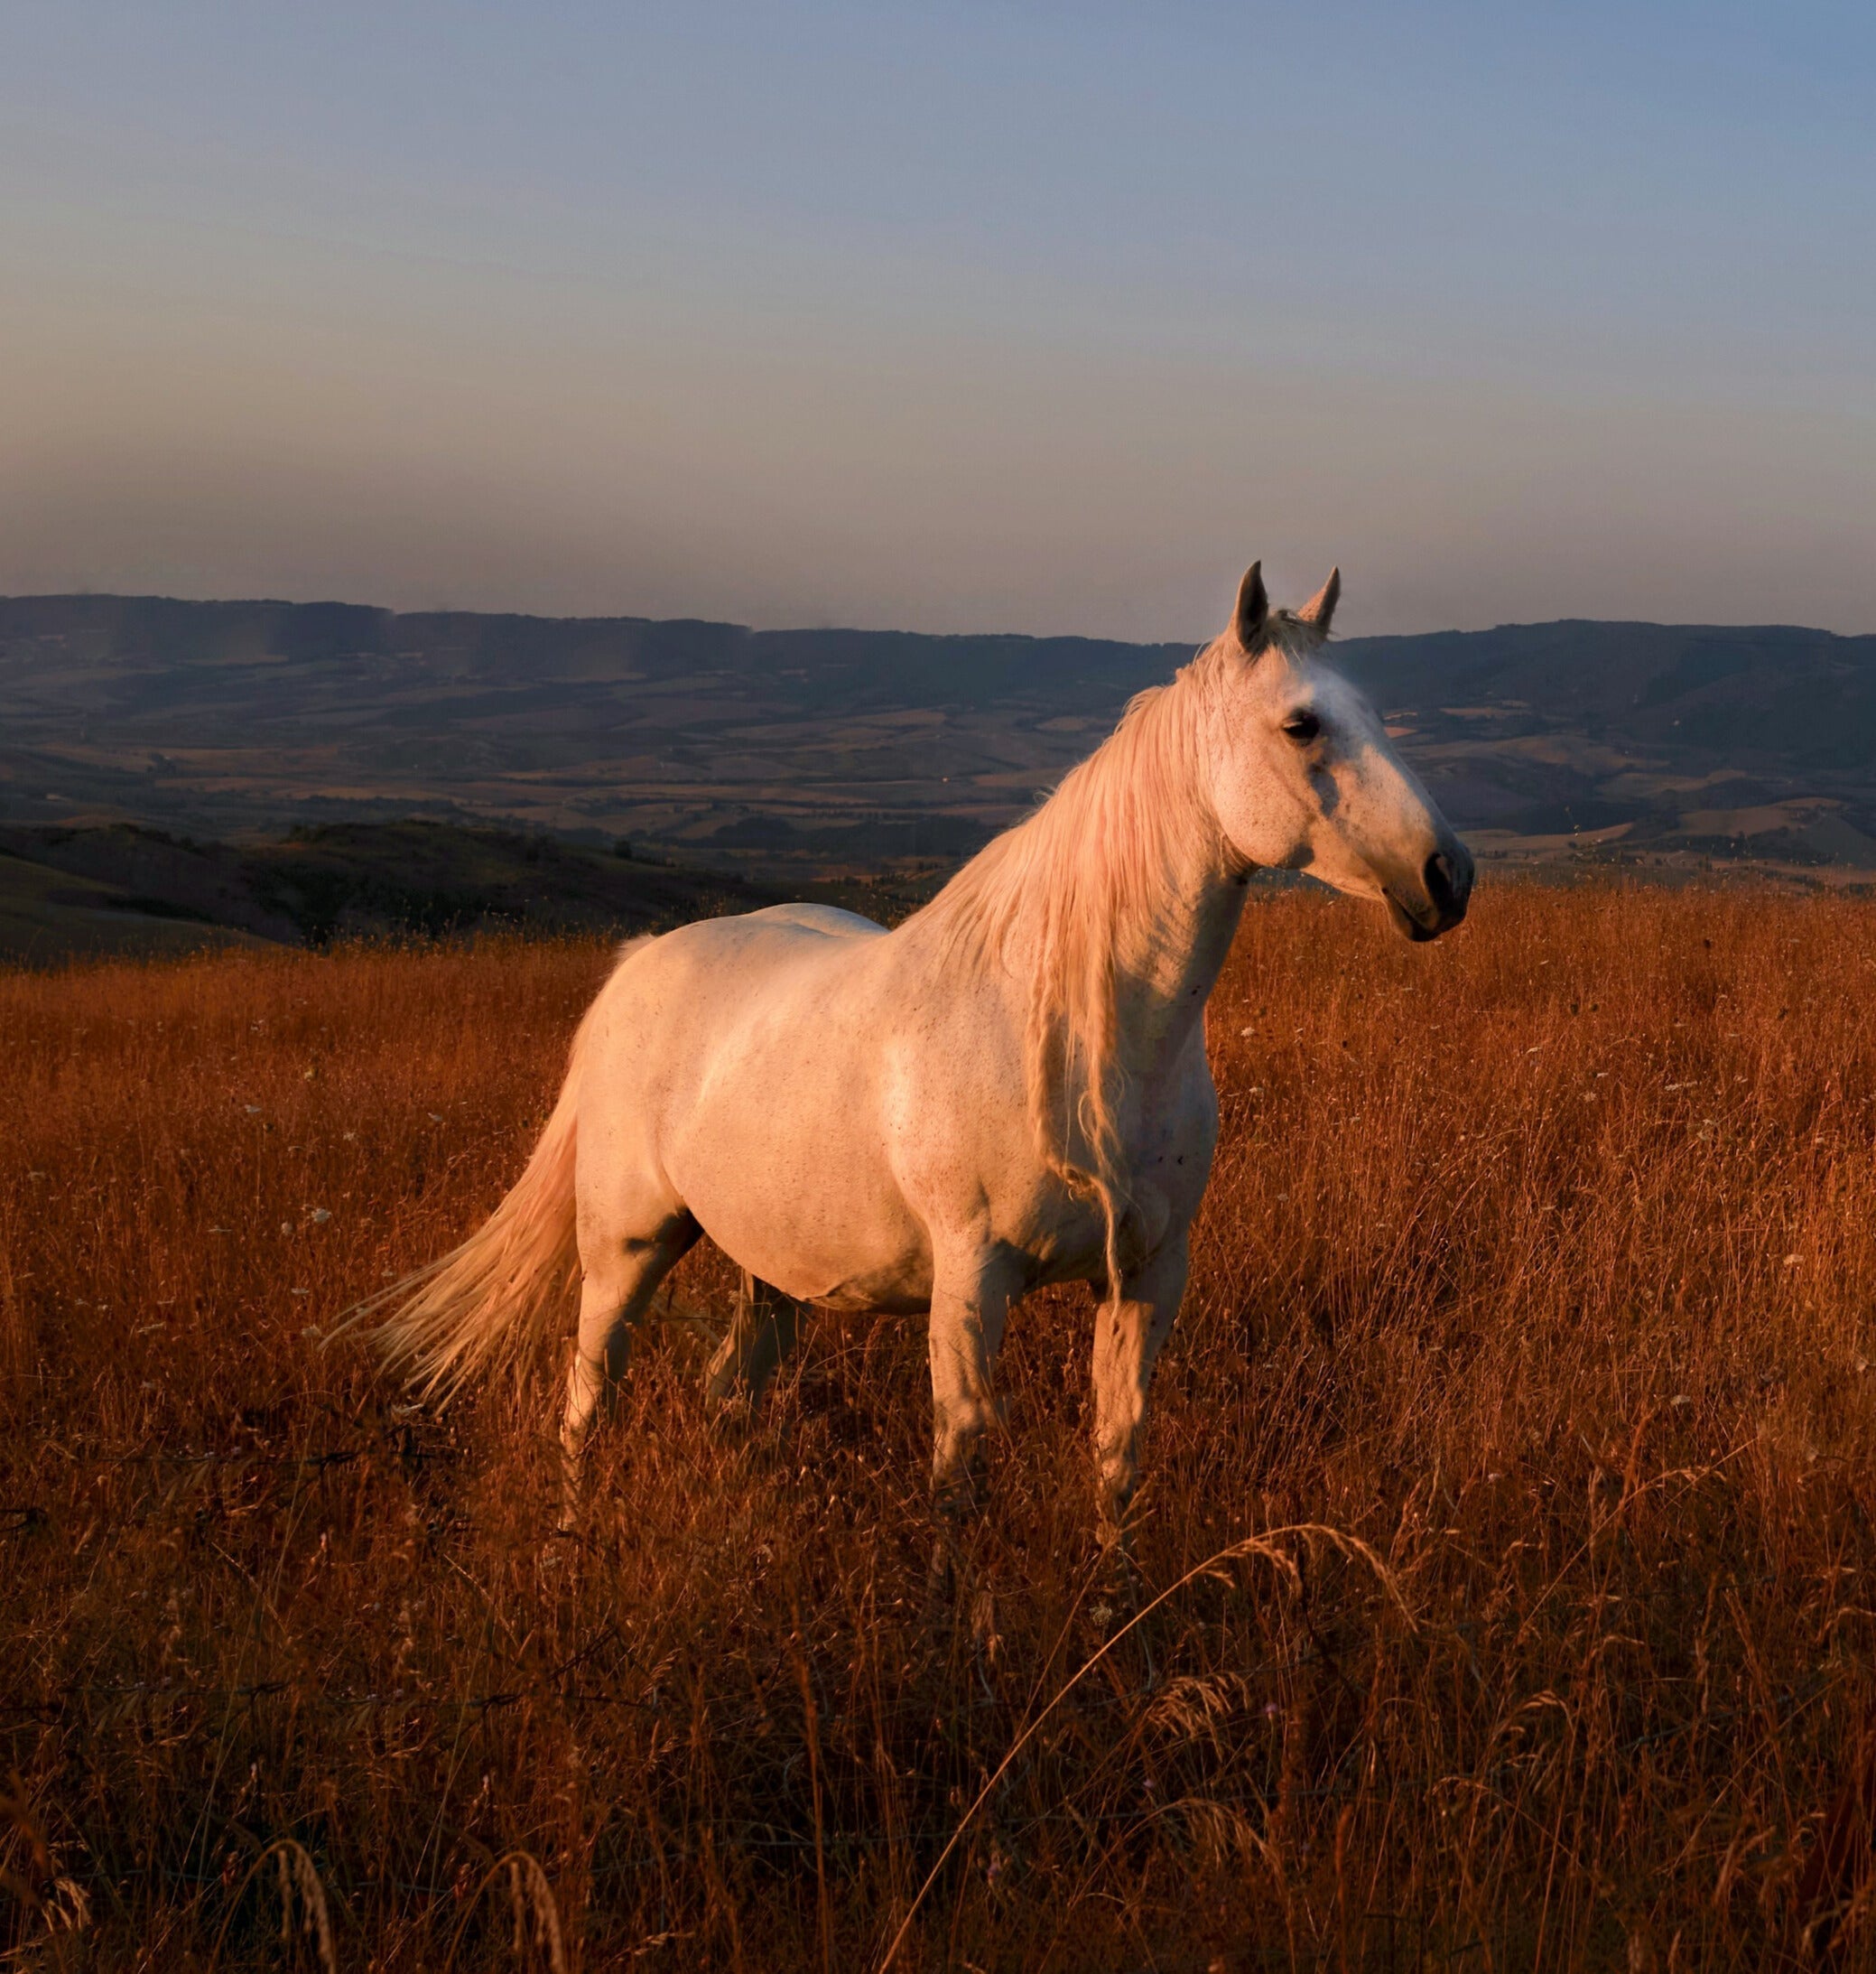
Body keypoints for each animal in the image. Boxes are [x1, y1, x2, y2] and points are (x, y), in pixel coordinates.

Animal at [367, 564, 1475, 1532]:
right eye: (1300, 723)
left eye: (1376, 714)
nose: (1447, 875)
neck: (1082, 1042)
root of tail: (637, 965)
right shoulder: (971, 1277)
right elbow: (960, 1466)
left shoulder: (1147, 1277)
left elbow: (1117, 1457)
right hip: (626, 1246)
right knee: (588, 1397)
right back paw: (571, 1540)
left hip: (771, 1269)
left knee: (733, 1389)